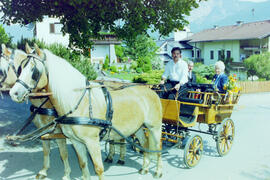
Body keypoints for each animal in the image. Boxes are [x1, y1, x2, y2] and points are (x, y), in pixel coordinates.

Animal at [0, 43, 71, 179]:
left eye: (1, 70)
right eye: (21, 69)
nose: (13, 94)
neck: (46, 99)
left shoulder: (58, 129)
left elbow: (63, 152)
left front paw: (67, 173)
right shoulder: (42, 128)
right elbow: (46, 149)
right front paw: (44, 170)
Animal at [8, 45, 162, 179]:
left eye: (34, 70)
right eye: (21, 68)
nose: (13, 93)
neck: (78, 101)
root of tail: (150, 91)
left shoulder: (92, 141)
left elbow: (98, 168)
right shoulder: (76, 141)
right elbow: (82, 164)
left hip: (154, 127)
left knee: (158, 146)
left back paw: (157, 172)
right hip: (138, 128)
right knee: (145, 144)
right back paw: (145, 168)